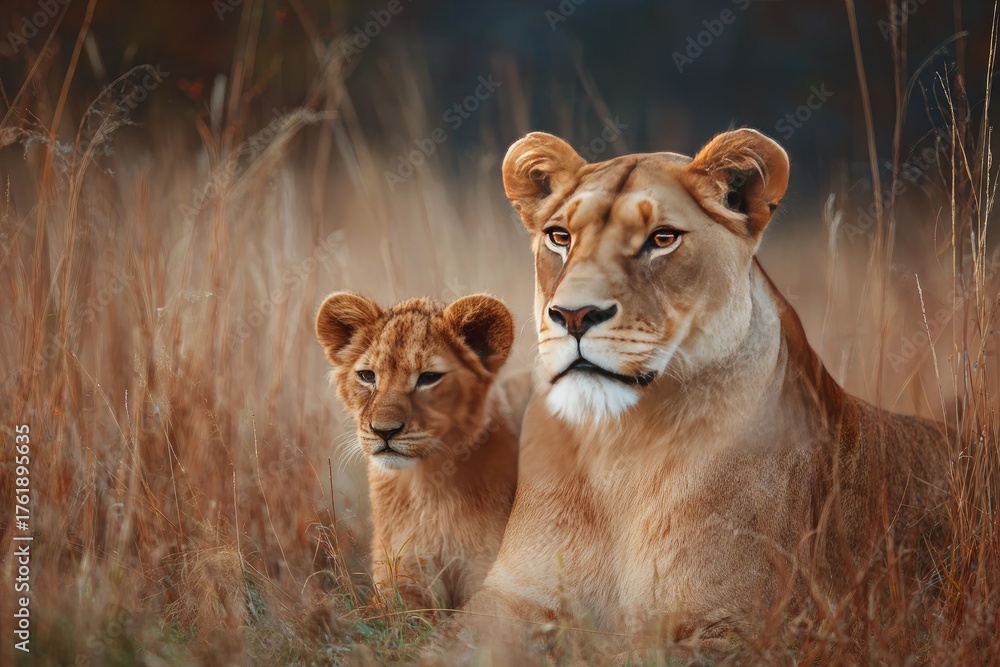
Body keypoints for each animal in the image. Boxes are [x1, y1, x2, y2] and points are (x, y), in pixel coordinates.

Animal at [315, 292, 521, 614]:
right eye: (367, 376)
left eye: (429, 377)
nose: (384, 431)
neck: (428, 487)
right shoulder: (400, 578)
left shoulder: (492, 578)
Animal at [456, 129, 952, 654]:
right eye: (560, 237)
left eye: (662, 239)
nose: (573, 315)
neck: (620, 446)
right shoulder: (507, 596)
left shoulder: (749, 626)